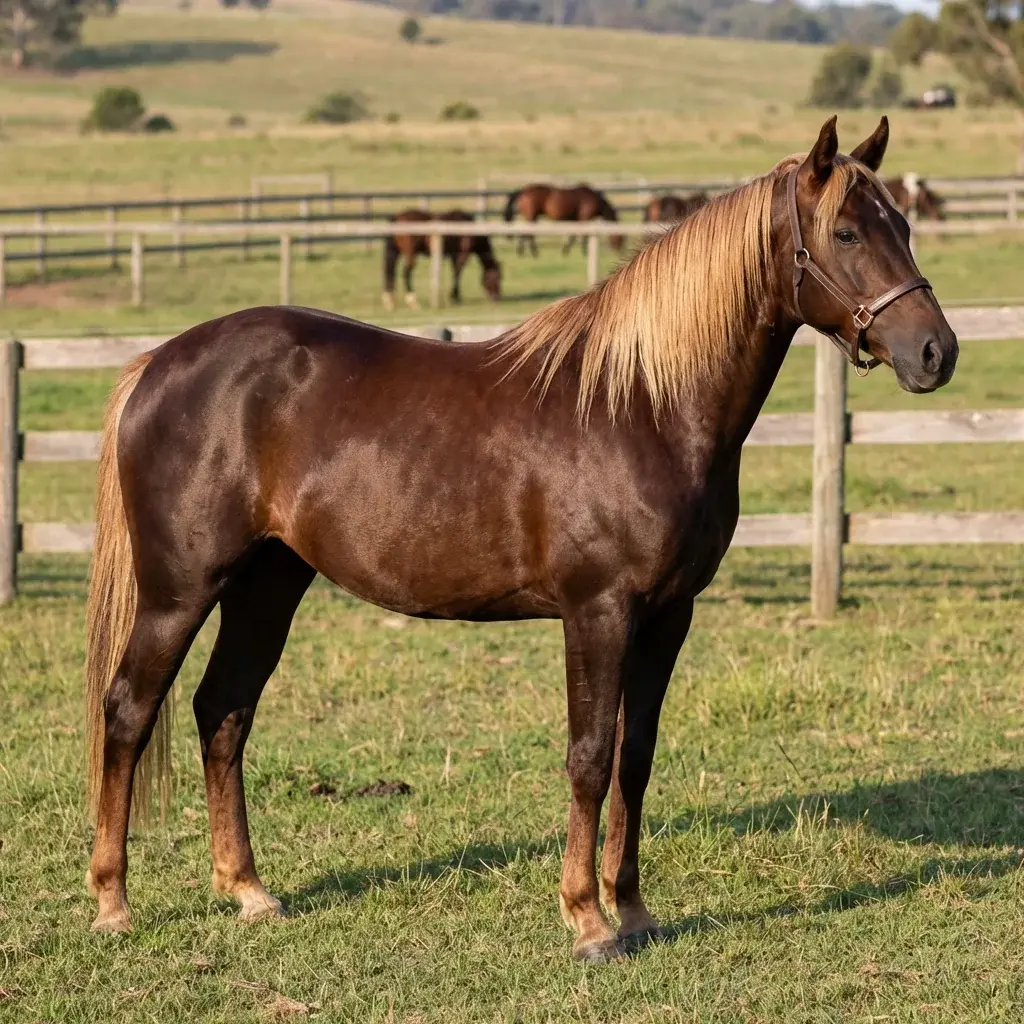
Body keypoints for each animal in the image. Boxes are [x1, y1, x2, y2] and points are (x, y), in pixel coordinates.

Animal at [84, 116, 957, 963]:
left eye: (906, 224)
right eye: (846, 231)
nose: (936, 353)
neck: (642, 405)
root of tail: (158, 363)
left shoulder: (669, 616)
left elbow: (636, 758)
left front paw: (635, 911)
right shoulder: (597, 612)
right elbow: (589, 758)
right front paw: (588, 921)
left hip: (268, 585)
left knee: (223, 710)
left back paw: (249, 891)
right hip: (179, 591)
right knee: (128, 709)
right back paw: (113, 903)